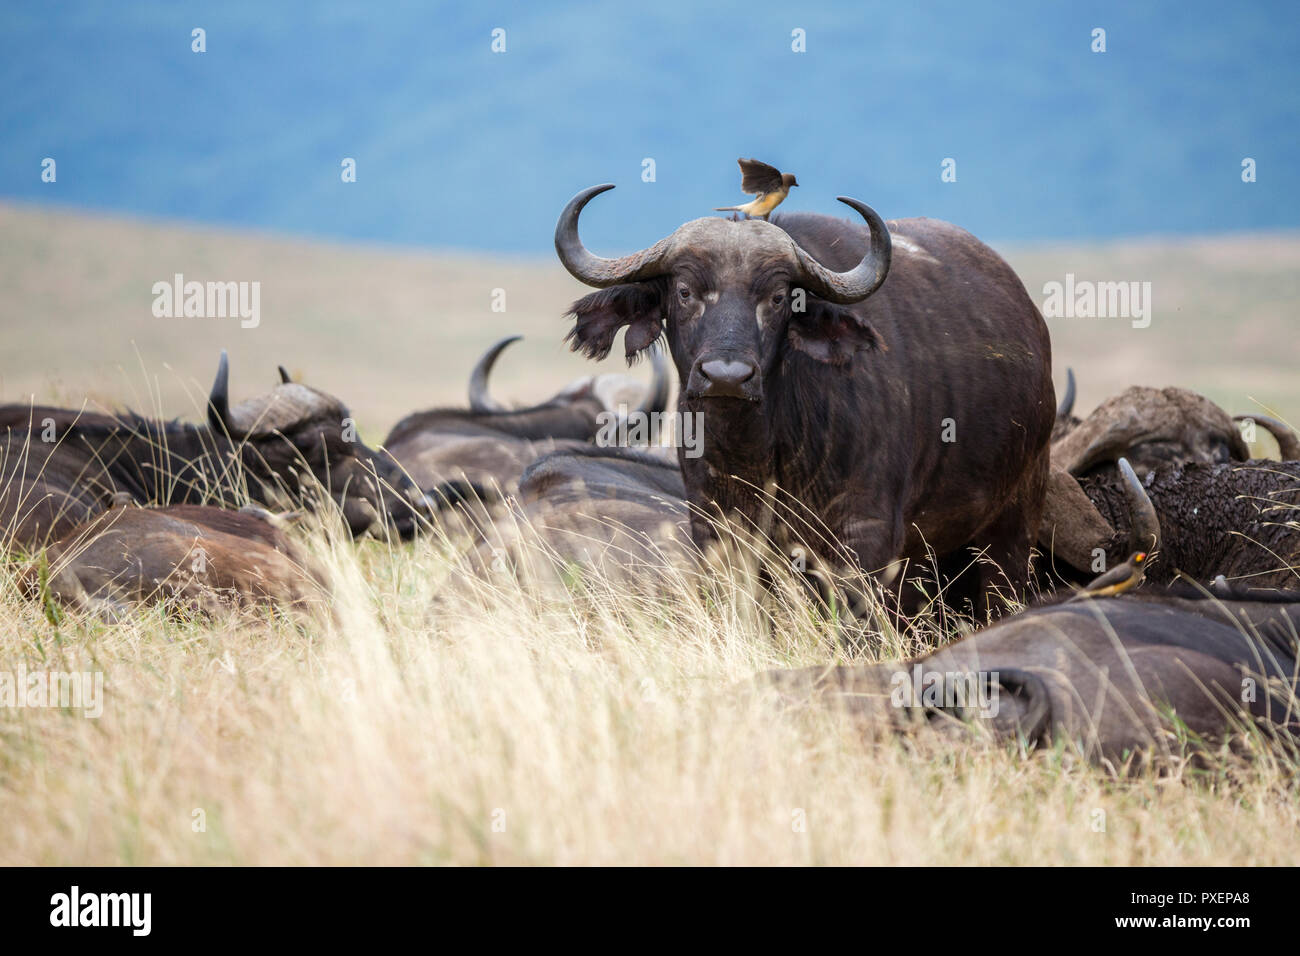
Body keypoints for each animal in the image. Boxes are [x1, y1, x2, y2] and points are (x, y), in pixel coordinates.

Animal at [553, 183, 1050, 608]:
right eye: (685, 291)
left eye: (777, 298)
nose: (727, 377)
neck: (761, 449)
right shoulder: (716, 530)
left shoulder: (865, 539)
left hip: (1013, 527)